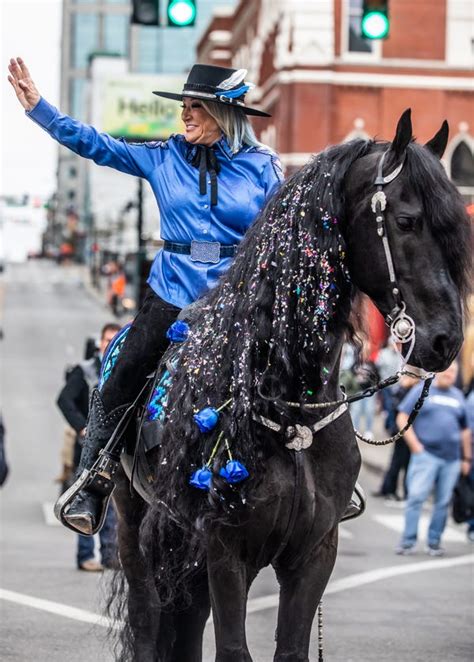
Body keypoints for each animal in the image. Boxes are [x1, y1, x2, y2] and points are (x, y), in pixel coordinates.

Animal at [108, 110, 470, 662]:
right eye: (407, 222)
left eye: (455, 230)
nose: (446, 341)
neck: (289, 406)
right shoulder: (227, 551)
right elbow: (233, 650)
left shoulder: (314, 554)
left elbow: (292, 647)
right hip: (138, 534)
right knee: (150, 627)